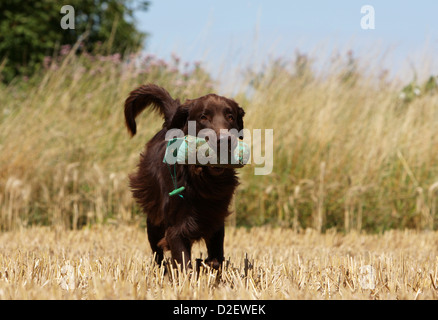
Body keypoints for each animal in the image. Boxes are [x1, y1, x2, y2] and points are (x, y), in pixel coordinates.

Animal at [124, 83, 246, 268]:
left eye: (230, 116)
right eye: (203, 117)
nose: (225, 140)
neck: (202, 179)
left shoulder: (216, 219)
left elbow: (216, 258)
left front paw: (208, 265)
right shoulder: (175, 229)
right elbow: (183, 264)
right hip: (154, 219)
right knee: (157, 252)